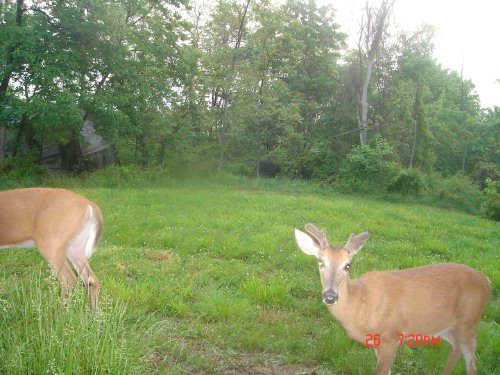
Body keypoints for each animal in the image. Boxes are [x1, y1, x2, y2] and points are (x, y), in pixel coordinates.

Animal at [294, 225, 490, 374]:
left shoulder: (391, 336)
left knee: (472, 364)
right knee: (456, 348)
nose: (330, 296)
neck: (361, 304)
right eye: (321, 262)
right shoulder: (376, 343)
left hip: (469, 322)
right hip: (446, 327)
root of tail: (487, 281)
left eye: (347, 265)